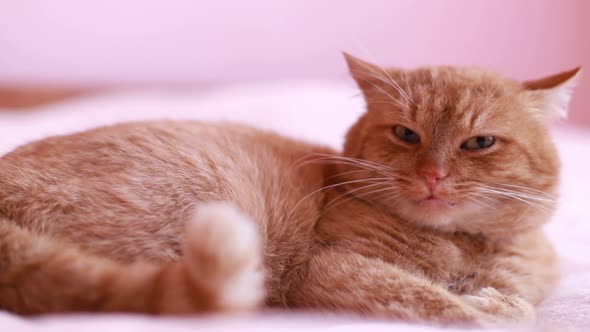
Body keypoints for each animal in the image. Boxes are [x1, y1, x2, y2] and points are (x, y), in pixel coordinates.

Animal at [0, 53, 584, 326]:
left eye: (479, 142)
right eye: (406, 134)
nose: (433, 174)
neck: (463, 245)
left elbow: (518, 302)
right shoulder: (333, 268)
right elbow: (444, 302)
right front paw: (483, 307)